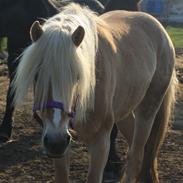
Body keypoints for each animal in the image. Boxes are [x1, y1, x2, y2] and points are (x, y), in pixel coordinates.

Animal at [12, 2, 177, 183]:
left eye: (77, 76)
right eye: (36, 74)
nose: (56, 142)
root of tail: (159, 29)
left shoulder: (100, 142)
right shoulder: (60, 144)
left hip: (148, 110)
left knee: (136, 154)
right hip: (124, 112)